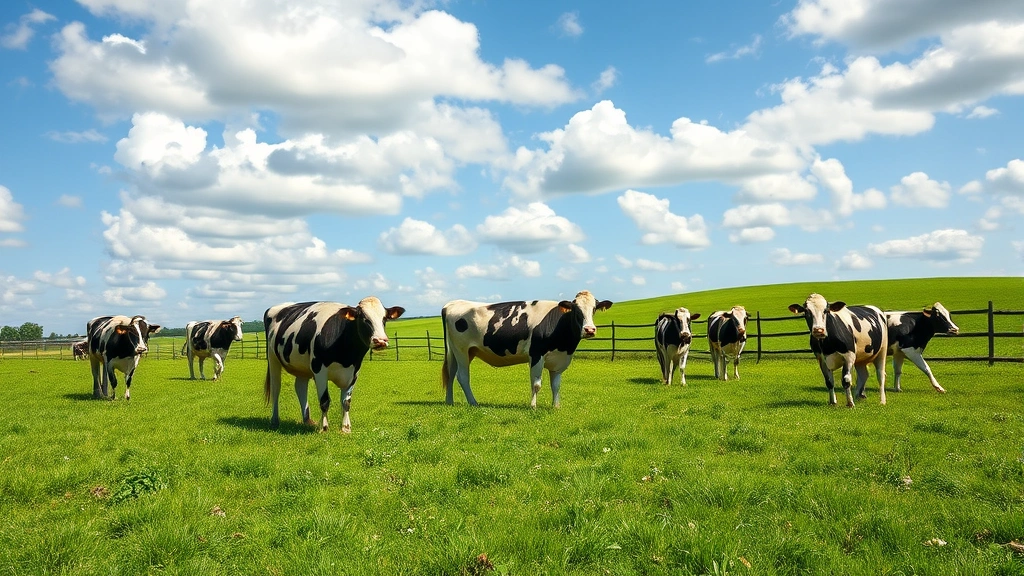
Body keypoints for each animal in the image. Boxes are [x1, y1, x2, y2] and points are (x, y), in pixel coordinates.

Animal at [263, 297, 405, 433]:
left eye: (384, 318)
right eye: (364, 318)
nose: (381, 341)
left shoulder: (354, 372)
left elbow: (346, 402)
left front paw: (346, 428)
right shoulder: (319, 370)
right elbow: (324, 400)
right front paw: (324, 427)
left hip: (302, 368)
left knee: (300, 388)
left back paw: (307, 420)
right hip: (272, 359)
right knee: (276, 388)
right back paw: (274, 421)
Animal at [441, 290, 613, 408]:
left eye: (594, 308)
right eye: (576, 310)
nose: (590, 330)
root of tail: (452, 304)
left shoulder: (559, 360)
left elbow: (556, 385)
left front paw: (556, 406)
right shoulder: (536, 354)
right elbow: (536, 384)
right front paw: (533, 406)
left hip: (459, 351)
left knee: (451, 373)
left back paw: (449, 402)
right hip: (462, 349)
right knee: (462, 377)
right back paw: (473, 402)